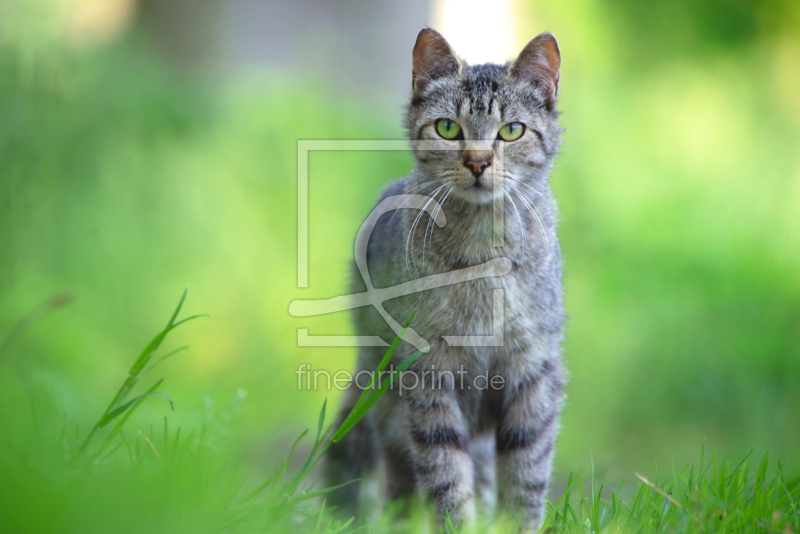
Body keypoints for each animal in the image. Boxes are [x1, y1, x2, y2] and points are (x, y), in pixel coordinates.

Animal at [322, 28, 564, 532]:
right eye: (448, 128)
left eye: (511, 130)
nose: (477, 162)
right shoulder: (428, 375)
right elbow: (445, 473)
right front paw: (457, 522)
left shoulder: (533, 370)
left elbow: (527, 471)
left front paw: (517, 523)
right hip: (385, 401)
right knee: (400, 483)